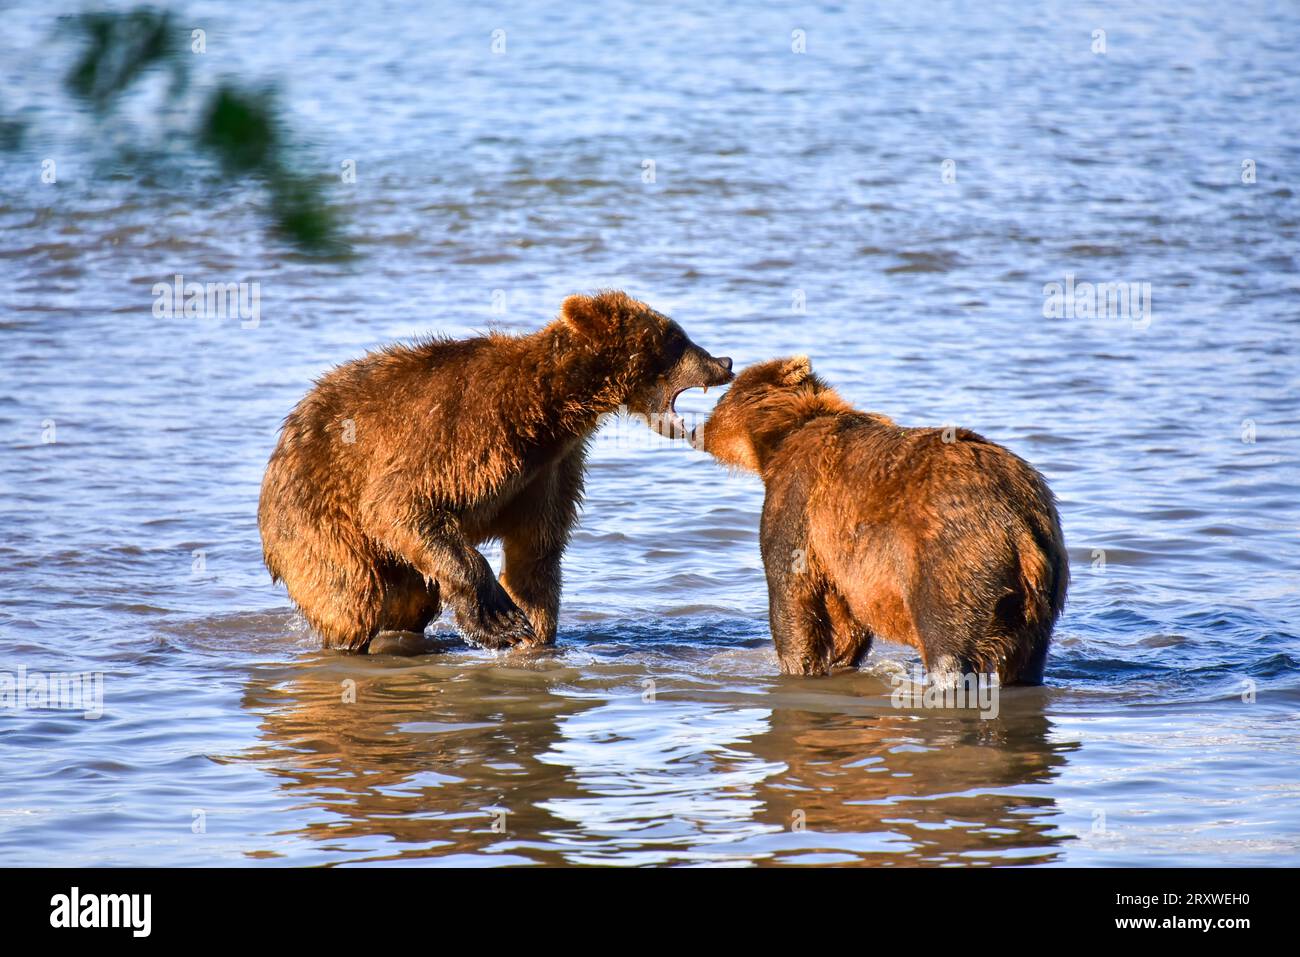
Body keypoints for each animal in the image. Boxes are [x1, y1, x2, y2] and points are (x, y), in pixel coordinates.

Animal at [258, 287, 738, 655]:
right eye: (675, 336)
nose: (725, 362)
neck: (549, 412)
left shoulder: (549, 470)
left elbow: (536, 551)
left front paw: (535, 634)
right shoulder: (465, 433)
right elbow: (402, 505)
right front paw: (501, 620)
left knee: (409, 600)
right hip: (318, 519)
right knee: (353, 597)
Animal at [702, 356, 1066, 686]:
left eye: (722, 396)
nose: (699, 429)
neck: (782, 436)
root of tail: (1019, 523)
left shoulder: (798, 498)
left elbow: (792, 592)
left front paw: (798, 667)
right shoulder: (845, 560)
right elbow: (845, 616)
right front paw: (840, 658)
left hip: (954, 558)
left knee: (948, 643)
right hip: (1041, 589)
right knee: (1027, 658)